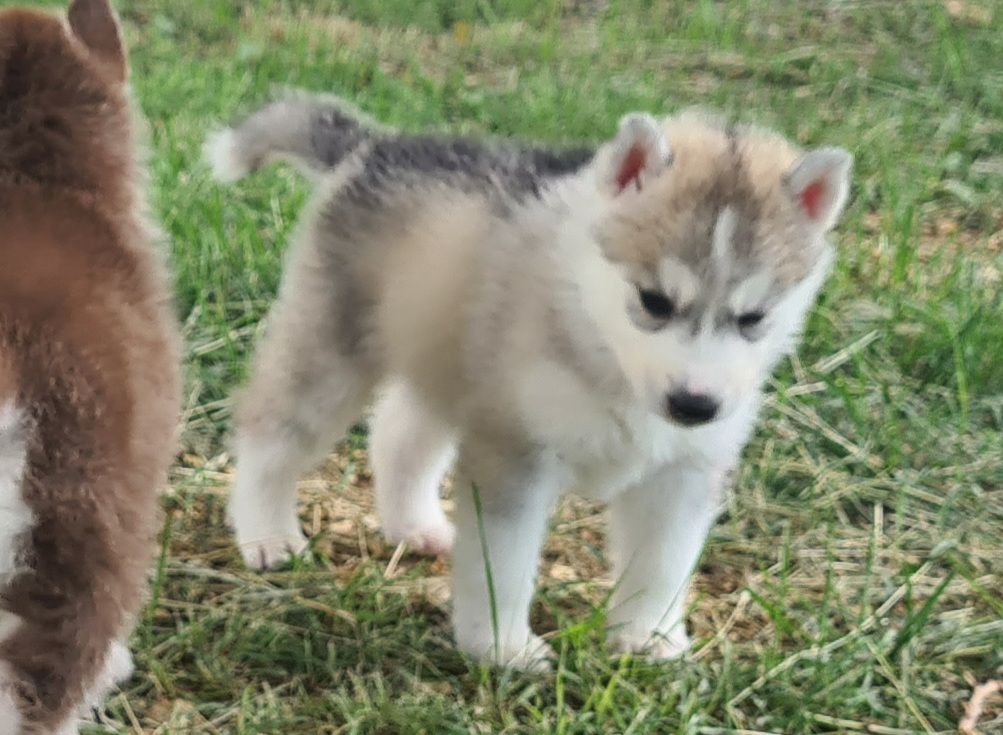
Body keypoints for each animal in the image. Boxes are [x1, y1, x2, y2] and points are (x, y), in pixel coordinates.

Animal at [208, 91, 851, 669]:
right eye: (654, 301)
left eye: (753, 318)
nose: (694, 405)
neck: (603, 354)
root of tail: (376, 146)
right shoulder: (515, 454)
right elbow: (507, 563)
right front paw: (502, 649)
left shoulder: (684, 472)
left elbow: (663, 560)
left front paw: (646, 638)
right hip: (333, 351)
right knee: (274, 430)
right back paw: (267, 535)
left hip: (447, 355)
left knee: (399, 436)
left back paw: (414, 527)